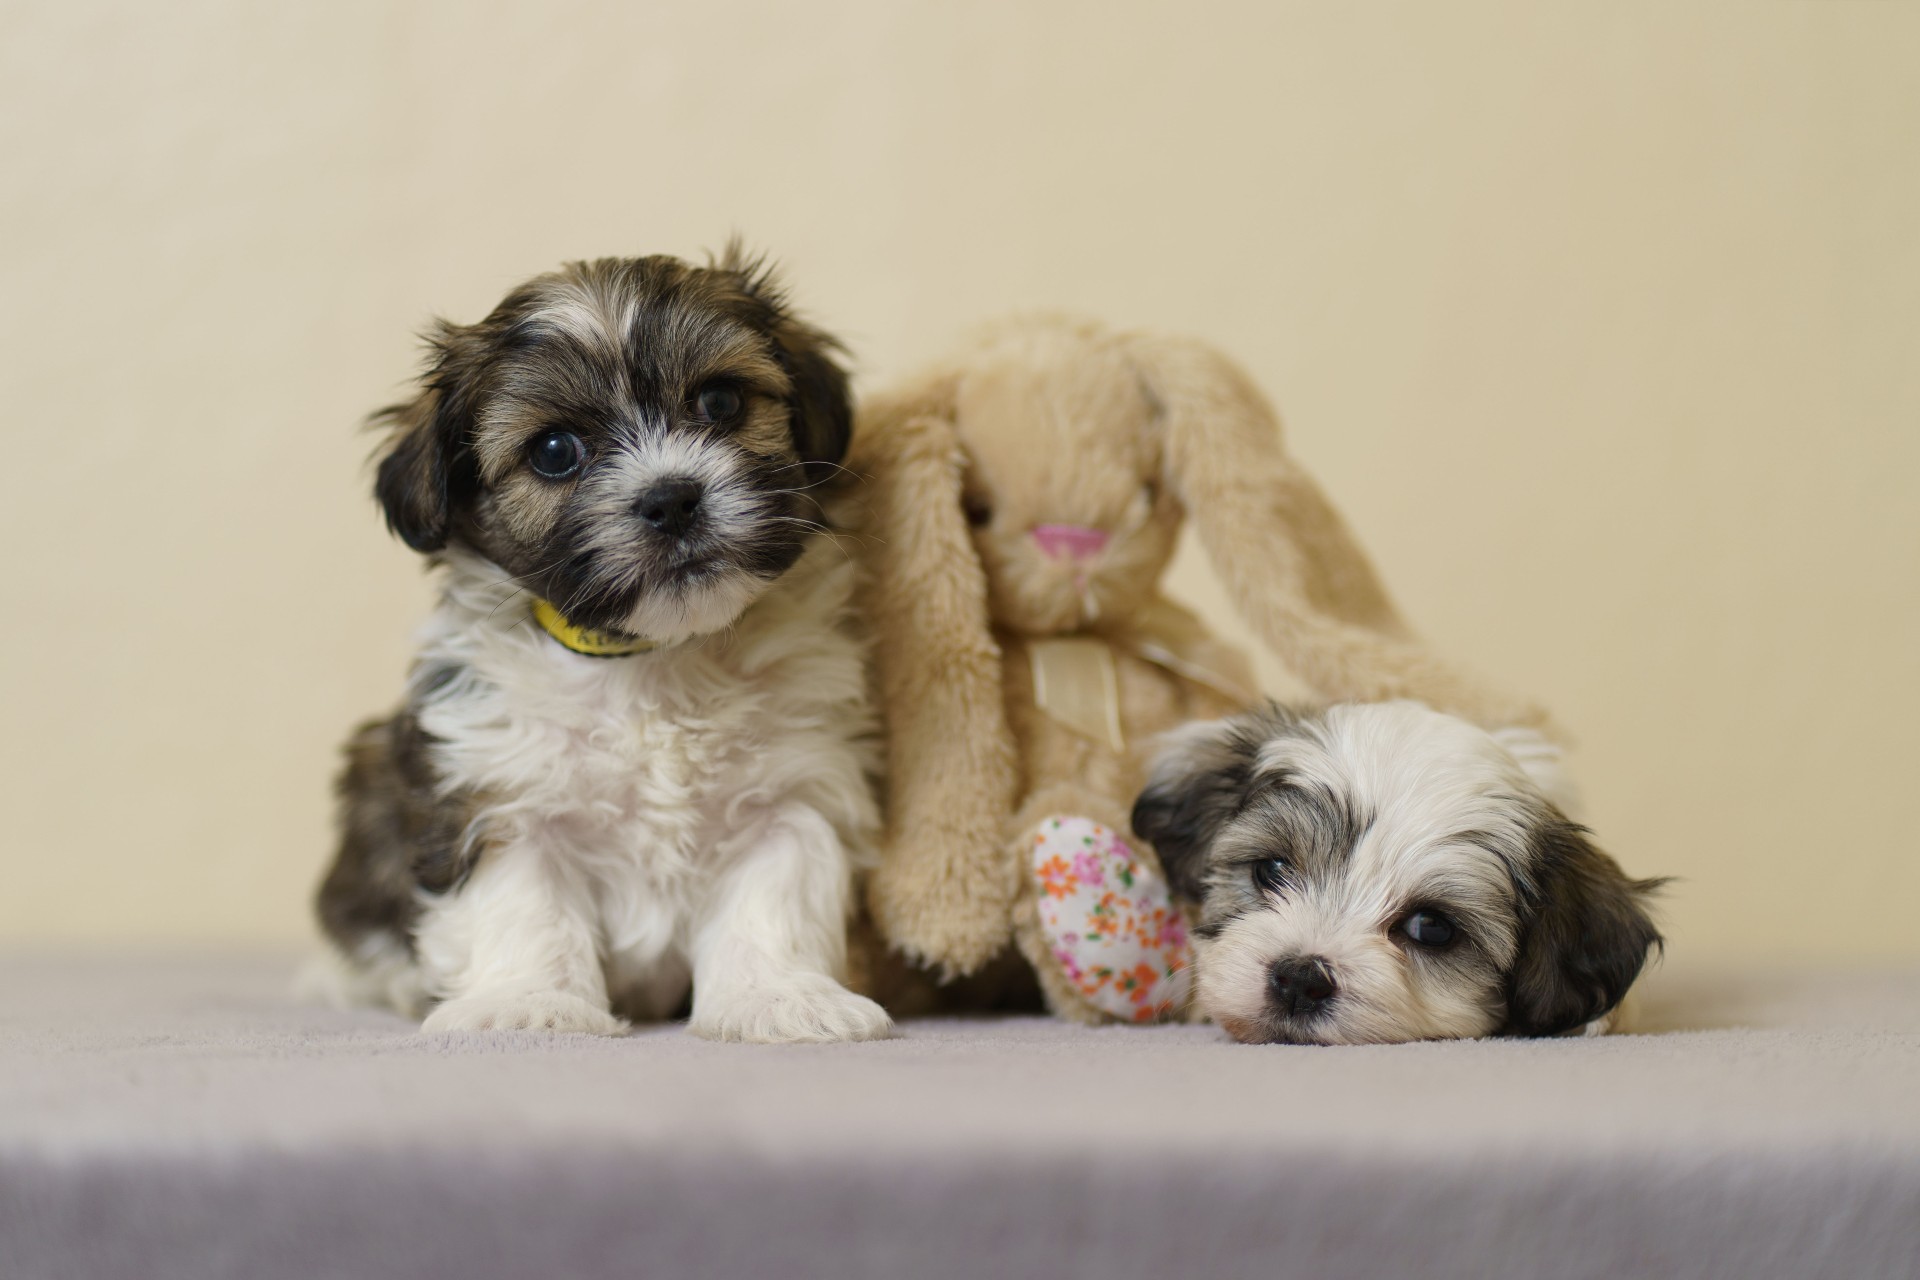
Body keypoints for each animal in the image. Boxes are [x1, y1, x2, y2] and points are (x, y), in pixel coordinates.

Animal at [314, 247, 890, 1043]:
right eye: (556, 451)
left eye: (720, 402)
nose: (672, 498)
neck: (653, 657)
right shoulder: (495, 788)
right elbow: (526, 906)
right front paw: (529, 1003)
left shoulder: (794, 791)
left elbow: (774, 899)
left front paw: (781, 999)